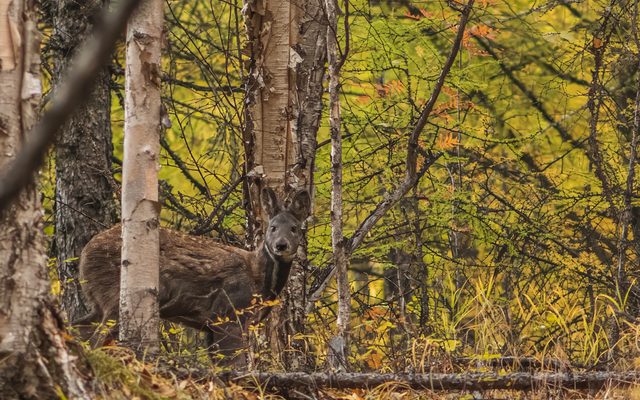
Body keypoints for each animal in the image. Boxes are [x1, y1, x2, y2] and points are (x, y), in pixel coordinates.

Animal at [74, 187, 310, 365]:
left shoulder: (211, 325)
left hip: (98, 302)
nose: (281, 245)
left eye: (294, 228)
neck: (259, 279)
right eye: (273, 227)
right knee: (96, 339)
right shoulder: (229, 313)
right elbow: (235, 365)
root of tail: (85, 254)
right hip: (115, 295)